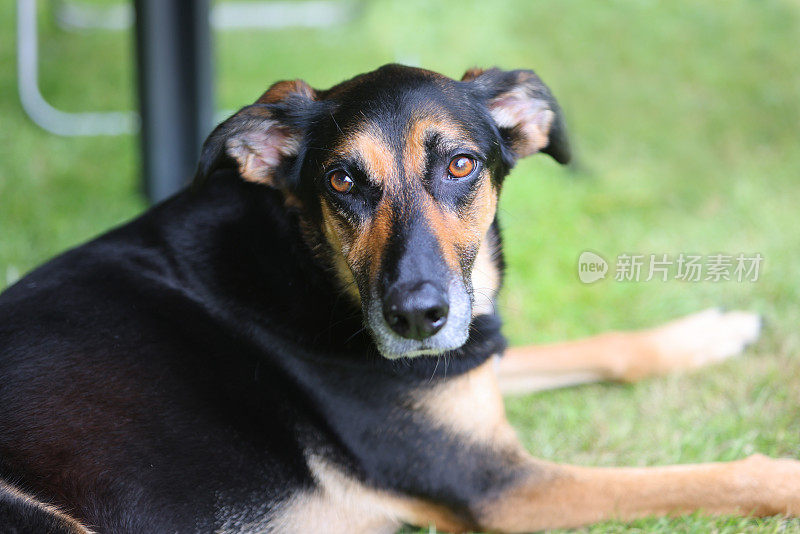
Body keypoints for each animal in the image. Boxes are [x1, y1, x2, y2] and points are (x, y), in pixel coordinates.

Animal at [1, 65, 800, 532]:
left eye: (461, 165)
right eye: (342, 181)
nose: (415, 316)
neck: (311, 269)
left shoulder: (466, 358)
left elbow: (603, 345)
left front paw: (712, 331)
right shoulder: (496, 488)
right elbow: (723, 477)